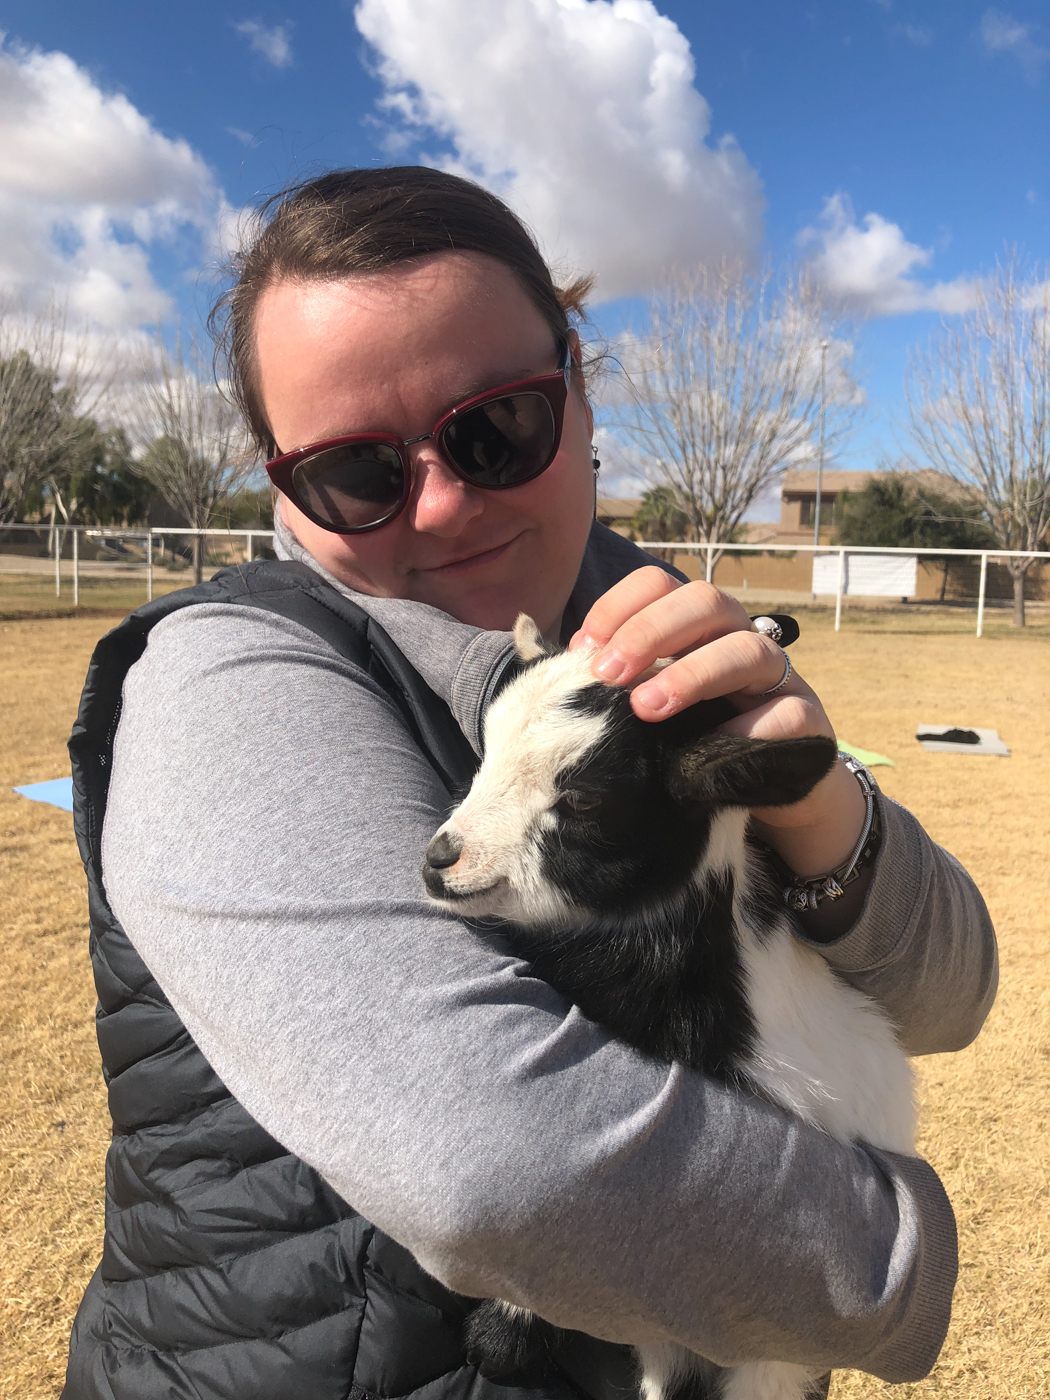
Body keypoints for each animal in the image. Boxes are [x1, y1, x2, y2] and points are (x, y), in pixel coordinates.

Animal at [422, 618, 918, 1400]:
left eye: (585, 799)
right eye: (484, 753)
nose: (442, 860)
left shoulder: (772, 1340)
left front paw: (502, 1334)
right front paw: (507, 1332)